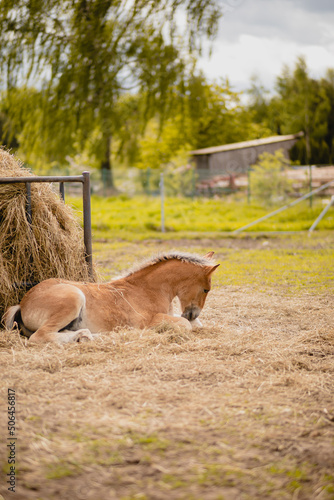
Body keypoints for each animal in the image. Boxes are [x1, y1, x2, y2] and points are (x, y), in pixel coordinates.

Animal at [4, 252, 222, 342]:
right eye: (206, 289)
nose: (193, 313)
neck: (149, 289)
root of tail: (22, 303)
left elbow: (195, 325)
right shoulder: (149, 321)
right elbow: (185, 326)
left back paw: (90, 336)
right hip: (74, 298)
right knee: (39, 337)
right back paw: (84, 337)